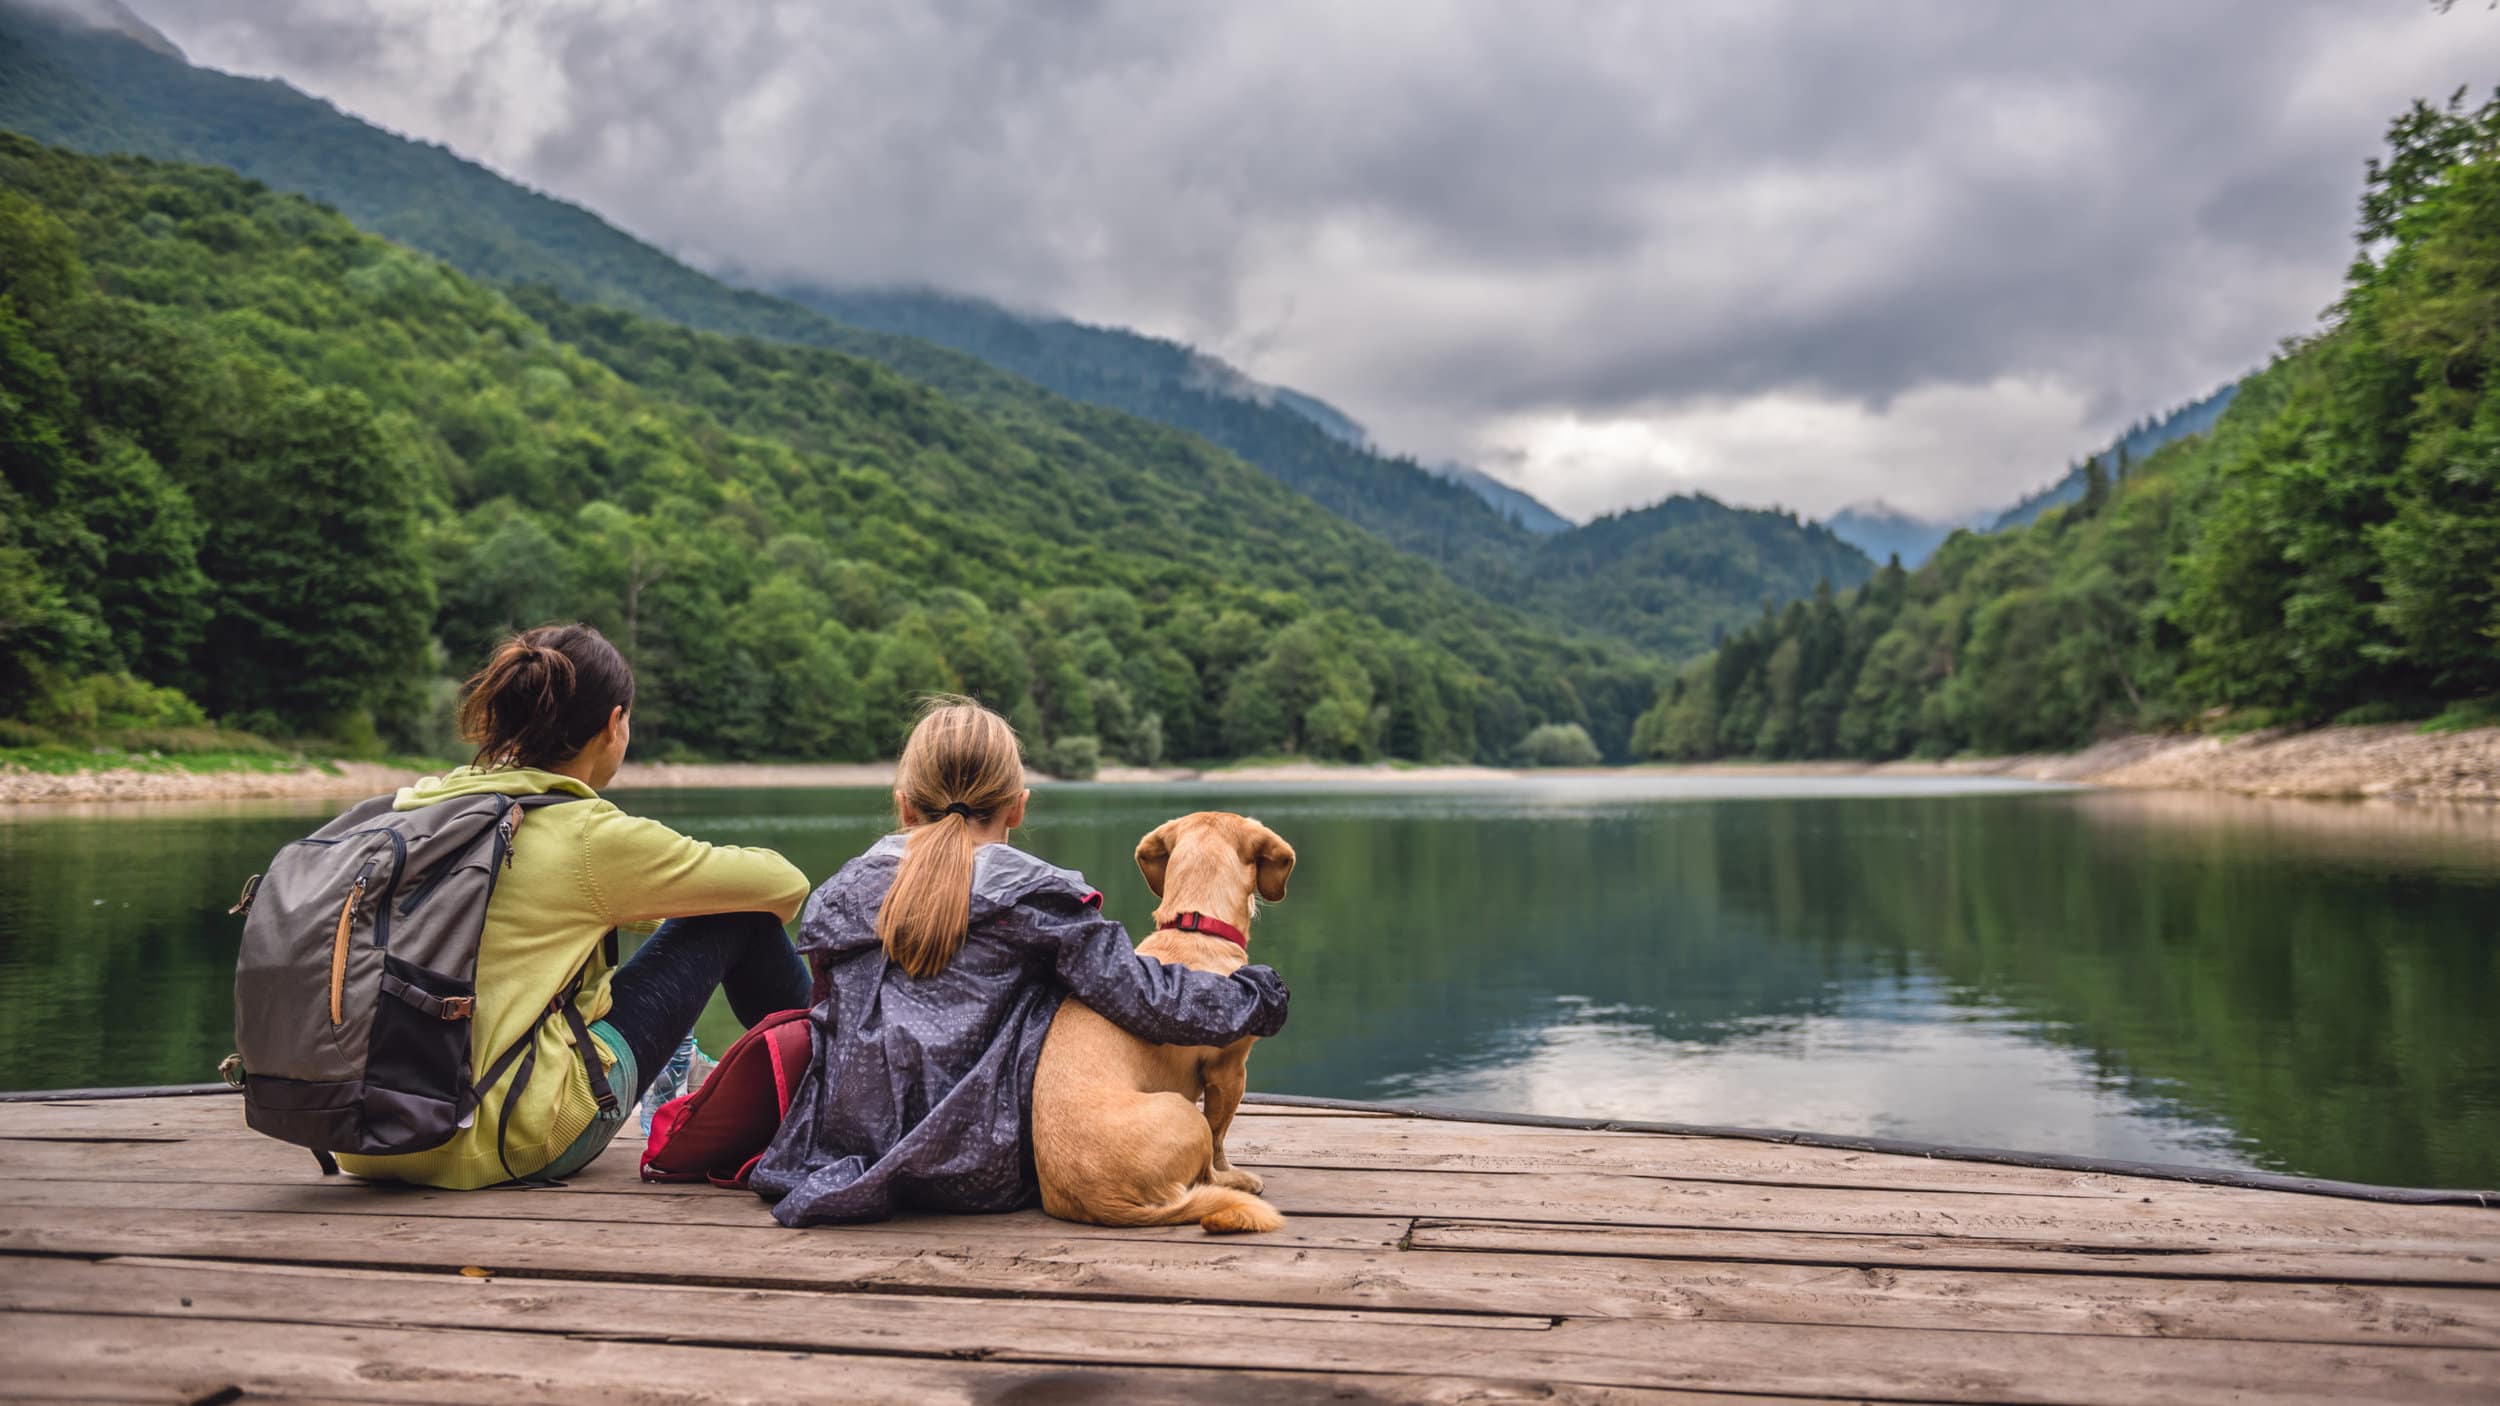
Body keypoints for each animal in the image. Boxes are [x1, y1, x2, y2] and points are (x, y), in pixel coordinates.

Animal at [1030, 810, 1300, 1225]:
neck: (1194, 926)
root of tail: (1106, 1202)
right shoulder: (1230, 1070)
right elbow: (1221, 1136)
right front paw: (1231, 1170)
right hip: (1185, 1112)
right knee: (1206, 1172)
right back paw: (1237, 1183)